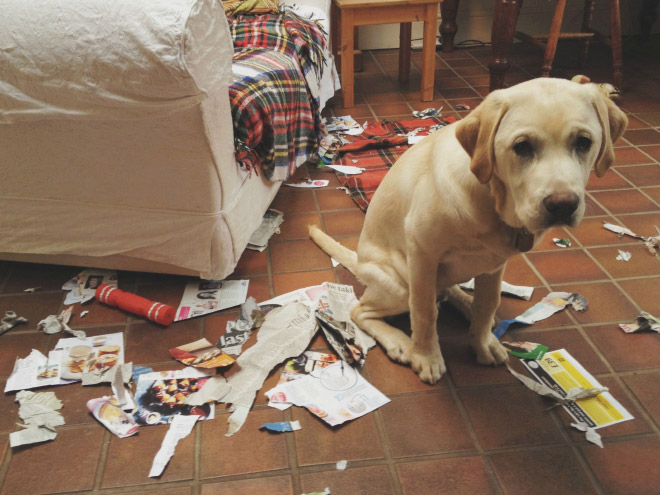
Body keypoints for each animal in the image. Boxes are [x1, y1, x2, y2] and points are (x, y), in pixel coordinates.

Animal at [310, 79, 628, 386]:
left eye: (584, 142)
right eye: (522, 146)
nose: (562, 205)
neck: (493, 200)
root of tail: (359, 261)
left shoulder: (495, 264)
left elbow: (488, 303)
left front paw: (483, 342)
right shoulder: (422, 254)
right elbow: (424, 312)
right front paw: (425, 356)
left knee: (447, 291)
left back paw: (465, 302)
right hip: (400, 284)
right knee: (361, 311)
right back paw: (399, 341)